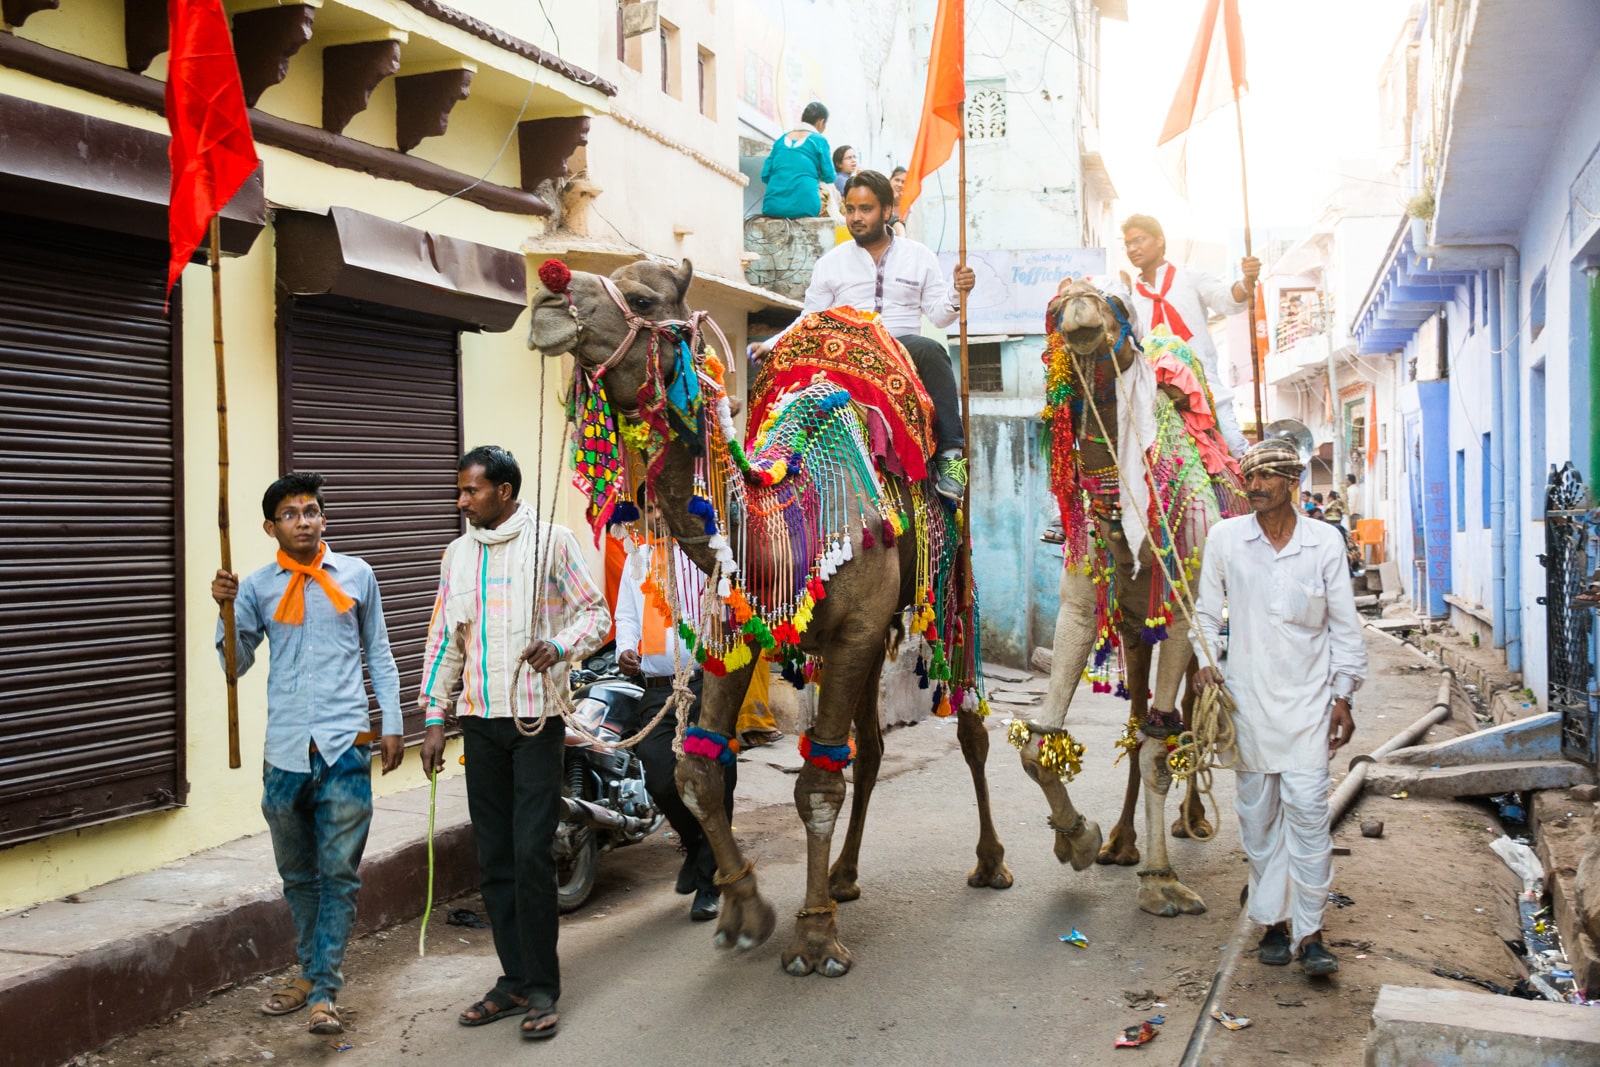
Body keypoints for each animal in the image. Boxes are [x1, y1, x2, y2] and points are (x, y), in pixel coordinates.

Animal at [528, 259, 1011, 979]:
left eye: (642, 296)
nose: (548, 293)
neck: (778, 520)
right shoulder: (744, 629)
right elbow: (698, 772)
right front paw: (744, 909)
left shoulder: (854, 628)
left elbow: (817, 783)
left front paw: (815, 941)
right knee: (871, 750)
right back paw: (843, 876)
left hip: (952, 588)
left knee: (969, 726)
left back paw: (992, 862)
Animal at [1011, 278, 1248, 921]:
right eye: (1054, 306)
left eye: (1116, 303)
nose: (1080, 308)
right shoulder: (1086, 592)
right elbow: (1037, 745)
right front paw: (1079, 838)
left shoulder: (1184, 598)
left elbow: (1157, 749)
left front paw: (1161, 883)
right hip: (1139, 630)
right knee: (1142, 715)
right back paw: (1121, 841)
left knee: (1184, 709)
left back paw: (1193, 821)